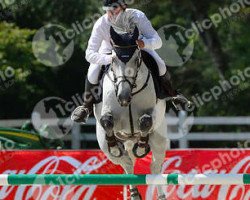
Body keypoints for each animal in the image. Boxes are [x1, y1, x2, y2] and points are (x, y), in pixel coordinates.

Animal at [94, 26, 169, 198]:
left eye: (136, 59)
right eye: (113, 60)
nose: (123, 97)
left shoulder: (152, 114)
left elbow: (145, 121)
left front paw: (141, 147)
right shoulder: (110, 116)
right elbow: (107, 121)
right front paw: (115, 147)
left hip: (159, 140)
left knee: (155, 167)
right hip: (105, 144)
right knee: (126, 162)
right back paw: (134, 193)